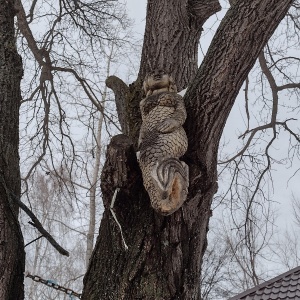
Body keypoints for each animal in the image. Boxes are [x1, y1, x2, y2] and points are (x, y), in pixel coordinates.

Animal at [139, 70, 190, 216]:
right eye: (152, 73)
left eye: (162, 72)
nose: (157, 74)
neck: (158, 92)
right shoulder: (143, 104)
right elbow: (143, 123)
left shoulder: (176, 97)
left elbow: (180, 111)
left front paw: (167, 123)